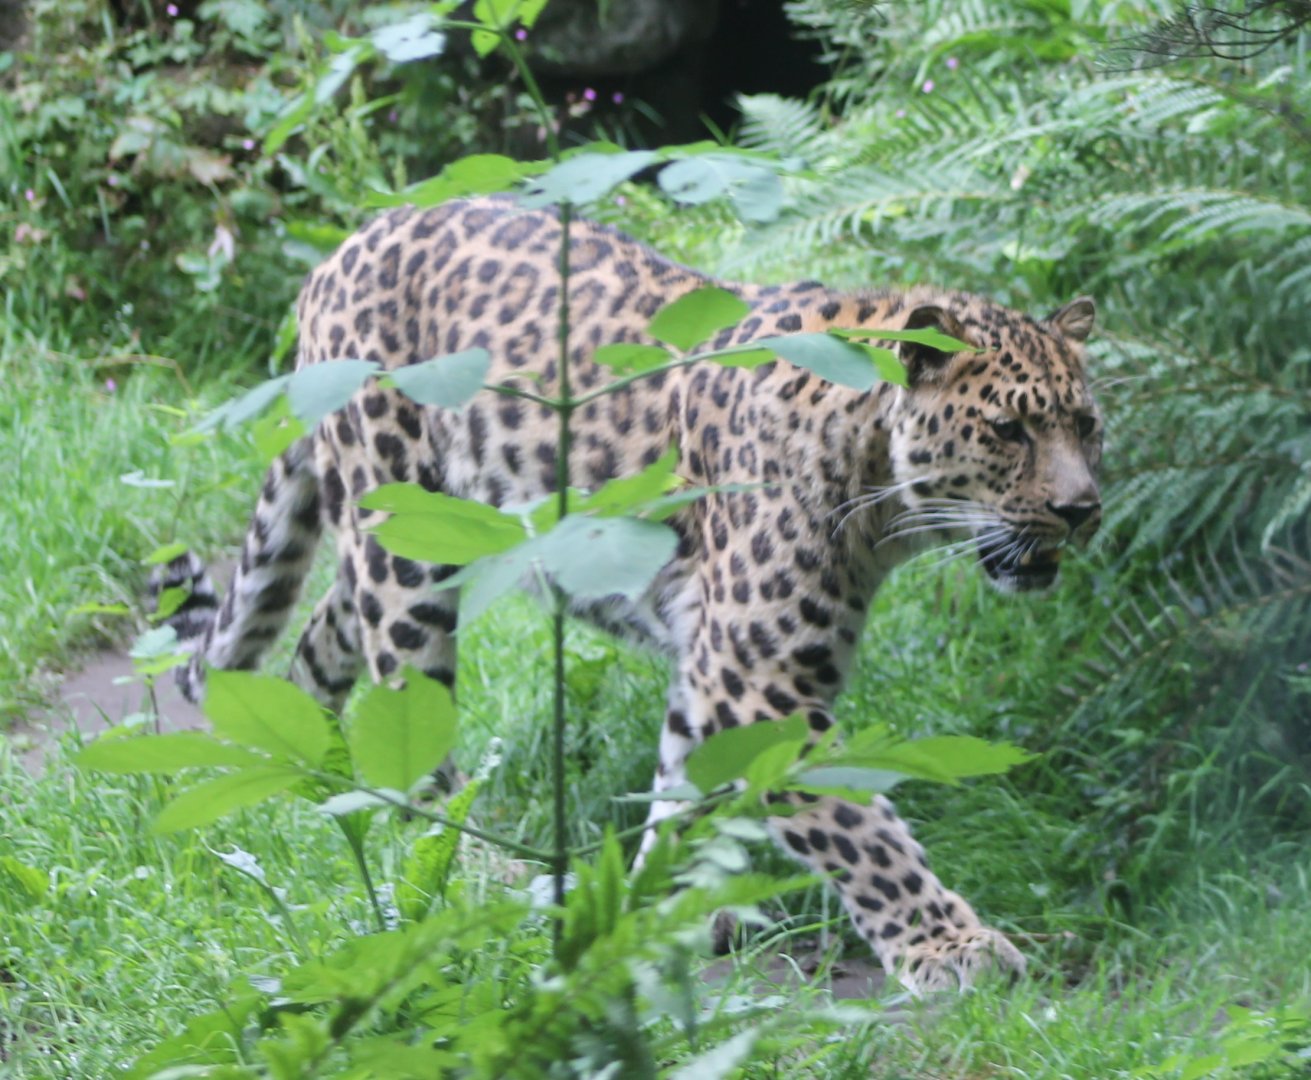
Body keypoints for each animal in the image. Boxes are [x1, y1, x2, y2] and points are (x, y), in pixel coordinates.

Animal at [159, 194, 1103, 993]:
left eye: (1086, 426)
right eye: (1008, 430)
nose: (1082, 509)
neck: (880, 494)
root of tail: (347, 243)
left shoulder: (714, 662)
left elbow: (687, 781)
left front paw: (660, 901)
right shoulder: (757, 678)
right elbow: (855, 822)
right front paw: (953, 947)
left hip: (416, 537)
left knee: (323, 632)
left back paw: (305, 771)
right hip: (403, 545)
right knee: (407, 714)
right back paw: (474, 872)